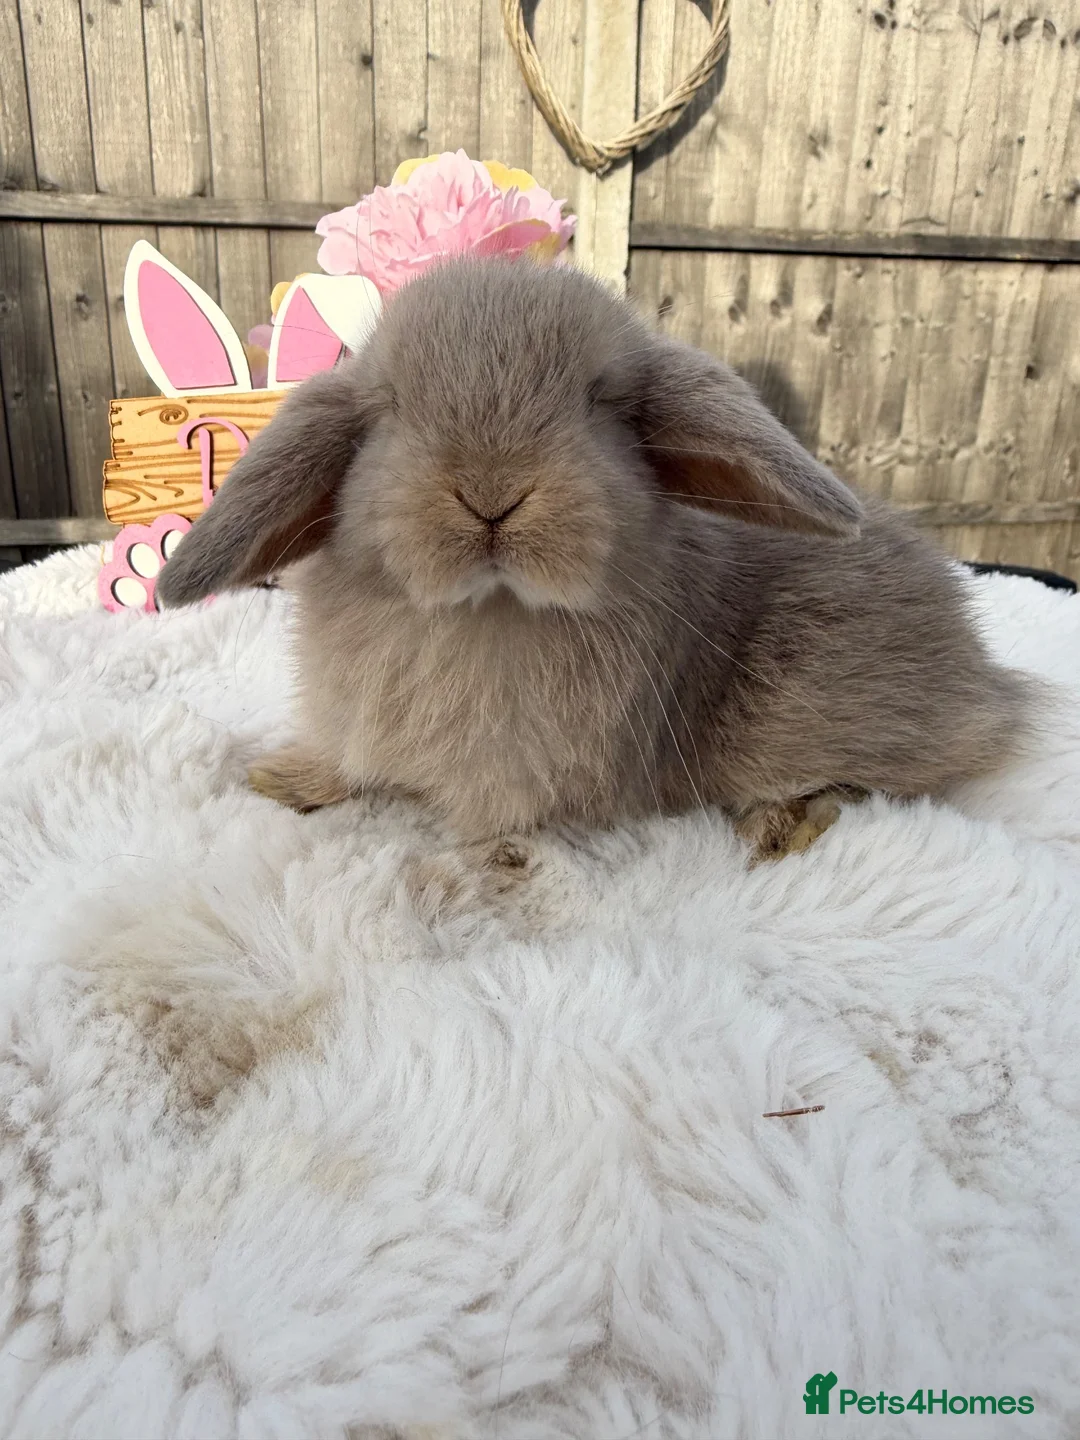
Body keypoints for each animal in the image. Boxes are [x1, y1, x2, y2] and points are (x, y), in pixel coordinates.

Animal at [155, 255, 1034, 863]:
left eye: (602, 404)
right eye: (390, 408)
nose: (492, 492)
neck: (491, 607)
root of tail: (980, 668)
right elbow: (350, 766)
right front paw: (281, 780)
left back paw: (780, 824)